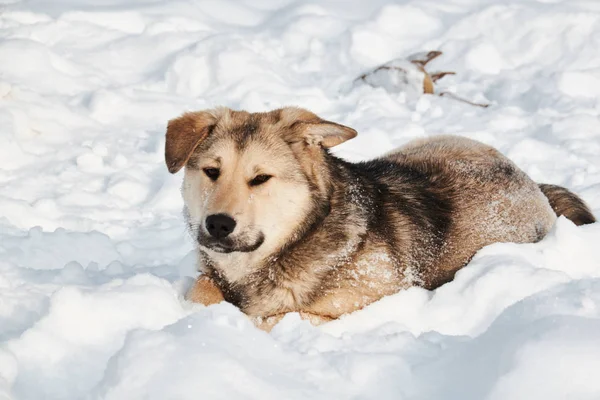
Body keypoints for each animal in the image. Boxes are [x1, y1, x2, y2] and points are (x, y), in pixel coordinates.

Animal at [165, 106, 596, 332]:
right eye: (211, 171)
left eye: (260, 178)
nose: (218, 224)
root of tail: (531, 181)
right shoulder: (210, 278)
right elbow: (202, 291)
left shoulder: (364, 305)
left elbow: (271, 318)